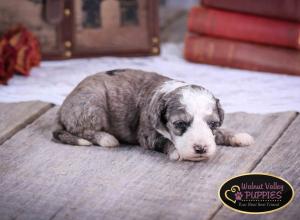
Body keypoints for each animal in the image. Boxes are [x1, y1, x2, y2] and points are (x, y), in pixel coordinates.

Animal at [52, 69, 254, 162]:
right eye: (179, 124)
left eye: (213, 124)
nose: (201, 149)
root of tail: (63, 107)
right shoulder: (147, 134)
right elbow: (164, 140)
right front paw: (175, 151)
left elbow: (220, 133)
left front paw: (239, 136)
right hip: (92, 104)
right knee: (82, 130)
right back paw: (107, 138)